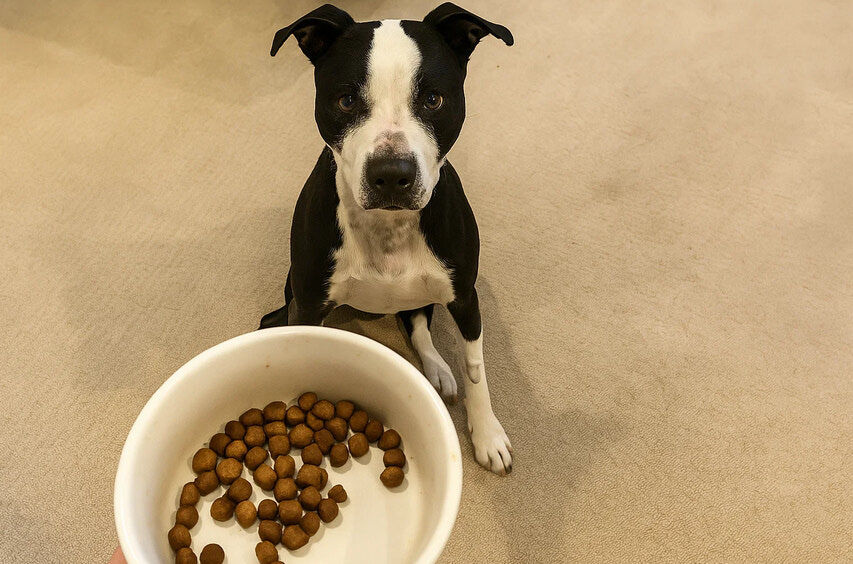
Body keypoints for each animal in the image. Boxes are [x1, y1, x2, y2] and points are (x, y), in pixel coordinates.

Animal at [261, 3, 513, 475]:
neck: (387, 227)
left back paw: (436, 370)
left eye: (433, 99)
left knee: (417, 325)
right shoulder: (308, 303)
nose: (392, 175)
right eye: (346, 100)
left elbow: (475, 367)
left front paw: (488, 435)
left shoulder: (465, 296)